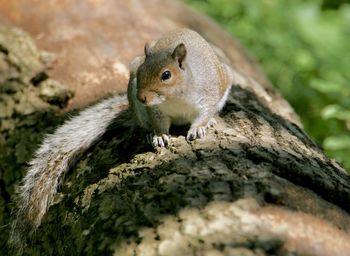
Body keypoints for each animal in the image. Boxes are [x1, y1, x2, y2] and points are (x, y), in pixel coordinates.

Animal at [10, 27, 235, 248]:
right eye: (142, 71)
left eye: (166, 75)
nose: (141, 97)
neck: (174, 98)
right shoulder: (155, 111)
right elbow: (158, 123)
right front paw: (160, 136)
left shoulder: (207, 94)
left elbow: (204, 114)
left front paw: (199, 128)